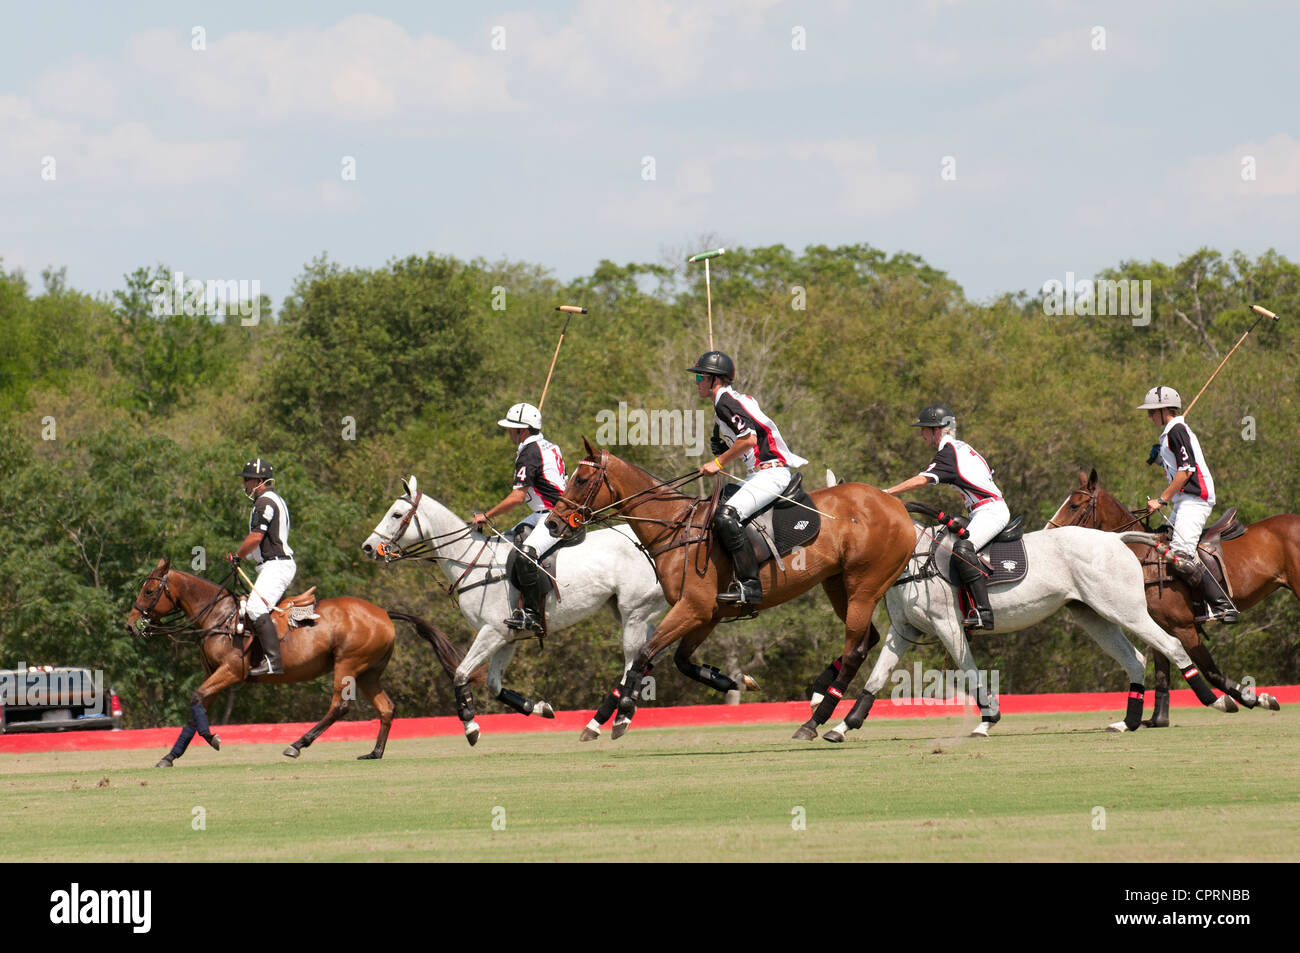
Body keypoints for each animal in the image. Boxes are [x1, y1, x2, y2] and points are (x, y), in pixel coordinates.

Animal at [124, 556, 473, 764]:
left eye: (149, 591)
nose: (130, 625)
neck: (219, 617)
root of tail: (385, 613)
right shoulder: (214, 673)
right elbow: (196, 707)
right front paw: (170, 756)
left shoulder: (231, 671)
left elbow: (196, 699)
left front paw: (213, 739)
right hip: (369, 671)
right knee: (387, 707)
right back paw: (374, 752)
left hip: (347, 664)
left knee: (340, 706)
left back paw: (297, 744)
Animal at [361, 475, 665, 743]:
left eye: (397, 514)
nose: (368, 547)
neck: (472, 562)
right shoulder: (507, 638)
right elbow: (494, 684)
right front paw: (539, 707)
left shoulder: (492, 632)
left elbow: (461, 673)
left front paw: (470, 726)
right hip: (637, 612)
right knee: (648, 658)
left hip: (634, 612)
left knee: (633, 663)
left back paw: (608, 720)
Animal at [540, 442, 915, 738]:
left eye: (581, 480)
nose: (553, 524)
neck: (675, 526)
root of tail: (897, 507)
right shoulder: (707, 614)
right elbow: (678, 661)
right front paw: (735, 683)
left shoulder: (693, 607)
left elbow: (645, 655)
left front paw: (622, 717)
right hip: (838, 585)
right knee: (867, 640)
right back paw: (821, 697)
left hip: (864, 586)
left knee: (855, 650)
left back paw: (816, 723)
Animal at [816, 512, 1232, 743]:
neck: (915, 560)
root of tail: (1115, 537)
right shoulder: (903, 631)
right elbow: (876, 678)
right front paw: (843, 726)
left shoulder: (948, 625)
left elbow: (970, 671)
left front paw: (988, 721)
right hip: (1093, 614)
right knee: (1134, 660)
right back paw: (1126, 723)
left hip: (1126, 609)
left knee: (1172, 645)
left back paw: (1220, 700)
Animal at [1045, 473, 1289, 722]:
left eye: (1074, 505)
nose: (1047, 532)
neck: (1145, 560)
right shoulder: (1159, 625)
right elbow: (1162, 673)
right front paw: (1157, 720)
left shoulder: (1185, 627)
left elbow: (1209, 670)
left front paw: (1255, 699)